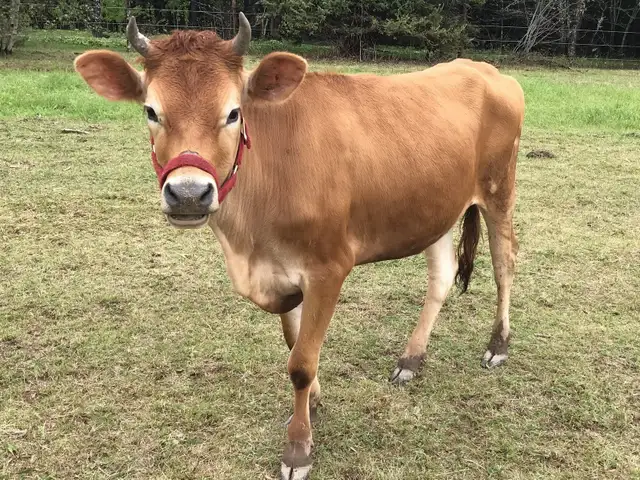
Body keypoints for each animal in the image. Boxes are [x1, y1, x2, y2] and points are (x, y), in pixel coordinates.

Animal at [74, 13, 525, 480]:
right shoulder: (280, 271)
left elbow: (302, 363)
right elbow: (294, 344)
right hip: (435, 208)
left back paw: (498, 346)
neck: (247, 239)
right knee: (441, 276)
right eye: (151, 111)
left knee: (504, 263)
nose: (188, 194)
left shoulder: (329, 268)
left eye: (234, 112)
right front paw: (312, 406)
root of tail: (482, 68)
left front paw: (298, 448)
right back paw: (411, 360)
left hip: (499, 189)